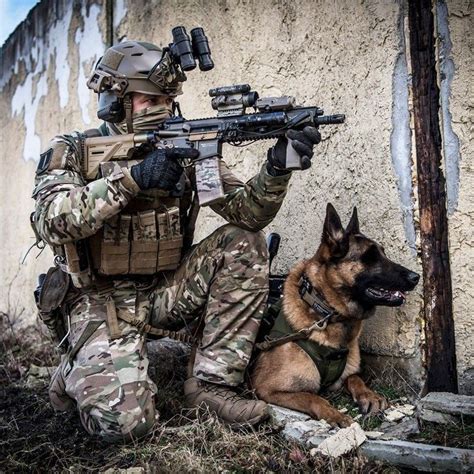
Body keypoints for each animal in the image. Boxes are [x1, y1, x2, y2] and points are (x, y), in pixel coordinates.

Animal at [250, 203, 420, 426]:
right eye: (370, 257)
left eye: (383, 253)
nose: (416, 277)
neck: (326, 312)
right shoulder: (267, 388)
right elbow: (313, 397)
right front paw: (335, 414)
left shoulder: (345, 376)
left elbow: (355, 378)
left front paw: (369, 395)